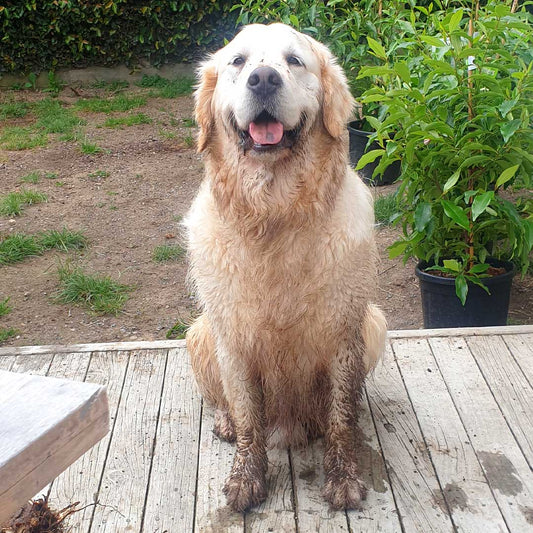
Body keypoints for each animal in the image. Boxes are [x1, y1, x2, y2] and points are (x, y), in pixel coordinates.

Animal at [184, 21, 386, 512]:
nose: (263, 79)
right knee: (227, 404)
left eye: (295, 61)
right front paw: (245, 478)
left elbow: (339, 417)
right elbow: (249, 417)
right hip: (198, 333)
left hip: (375, 323)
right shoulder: (233, 337)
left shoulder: (344, 331)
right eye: (238, 61)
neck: (275, 215)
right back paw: (225, 422)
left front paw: (344, 478)